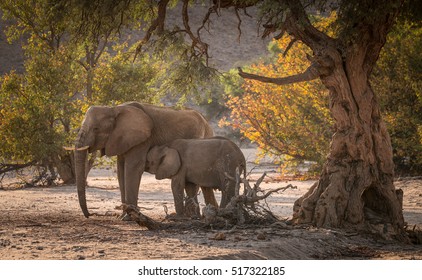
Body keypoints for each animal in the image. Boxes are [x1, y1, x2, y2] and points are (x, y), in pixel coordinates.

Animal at [72, 101, 216, 218]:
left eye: (96, 129)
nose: (89, 215)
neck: (114, 109)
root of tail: (207, 122)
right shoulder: (121, 139)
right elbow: (121, 170)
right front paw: (124, 216)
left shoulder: (142, 139)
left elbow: (133, 168)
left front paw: (129, 217)